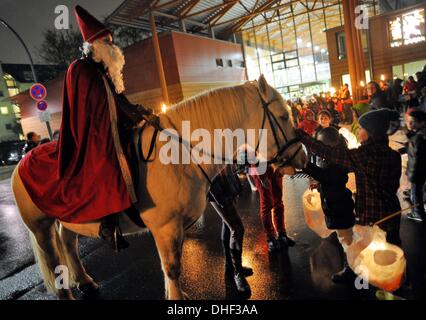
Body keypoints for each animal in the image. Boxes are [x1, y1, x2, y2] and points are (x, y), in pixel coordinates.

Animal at [10, 75, 306, 300]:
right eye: (283, 116)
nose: (302, 158)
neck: (181, 156)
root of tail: (22, 161)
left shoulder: (175, 228)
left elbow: (173, 267)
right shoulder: (166, 227)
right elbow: (172, 268)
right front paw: (176, 297)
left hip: (68, 219)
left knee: (69, 243)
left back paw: (84, 281)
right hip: (40, 228)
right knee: (53, 261)